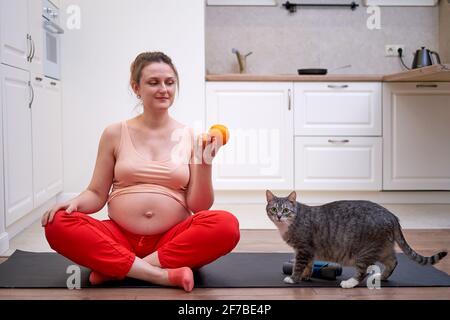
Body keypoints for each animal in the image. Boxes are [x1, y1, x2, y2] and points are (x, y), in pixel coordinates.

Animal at [266, 189, 448, 288]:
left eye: (286, 210)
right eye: (274, 209)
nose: (279, 216)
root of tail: (392, 216)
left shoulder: (303, 248)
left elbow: (298, 266)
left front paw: (294, 278)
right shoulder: (309, 250)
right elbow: (309, 265)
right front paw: (306, 276)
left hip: (365, 251)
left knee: (363, 271)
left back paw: (349, 282)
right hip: (383, 248)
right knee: (393, 262)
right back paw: (380, 277)